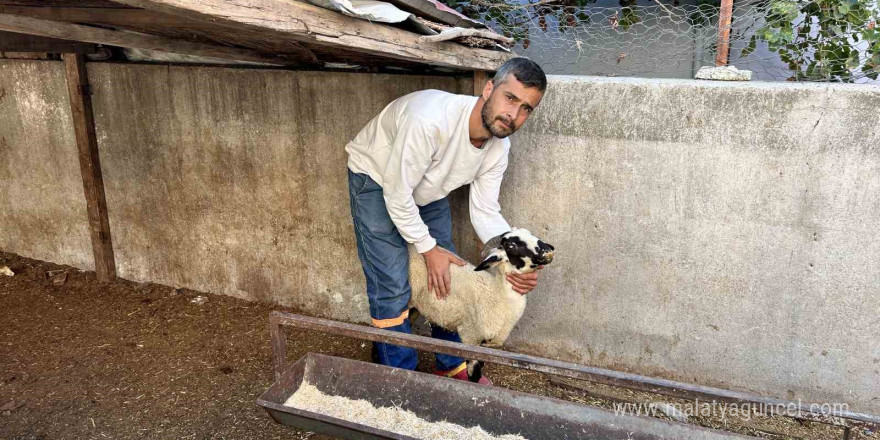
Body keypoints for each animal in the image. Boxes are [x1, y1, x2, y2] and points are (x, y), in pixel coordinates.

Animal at [404, 229, 552, 380]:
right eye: (511, 246)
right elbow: (474, 372)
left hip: (416, 305)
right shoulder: (470, 336)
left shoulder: (484, 343)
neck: (497, 293)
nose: (548, 250)